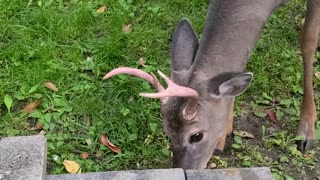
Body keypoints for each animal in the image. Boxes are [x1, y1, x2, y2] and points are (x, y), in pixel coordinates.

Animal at [104, 0, 318, 169]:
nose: (185, 171)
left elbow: (308, 41)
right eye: (167, 132)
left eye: (196, 135)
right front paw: (224, 136)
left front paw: (306, 131)